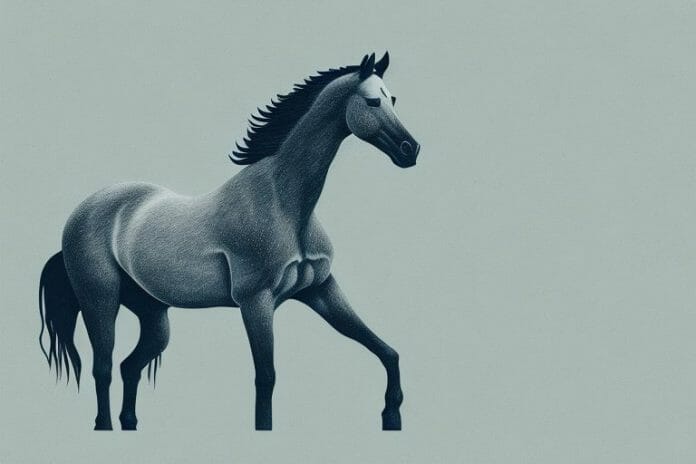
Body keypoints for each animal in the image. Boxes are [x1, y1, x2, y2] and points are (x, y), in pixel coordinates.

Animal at [38, 52, 420, 431]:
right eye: (372, 101)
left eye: (393, 99)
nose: (411, 150)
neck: (283, 203)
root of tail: (81, 213)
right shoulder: (256, 301)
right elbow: (266, 380)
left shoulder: (321, 290)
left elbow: (387, 351)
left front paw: (392, 415)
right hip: (100, 300)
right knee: (102, 369)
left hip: (154, 315)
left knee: (128, 368)